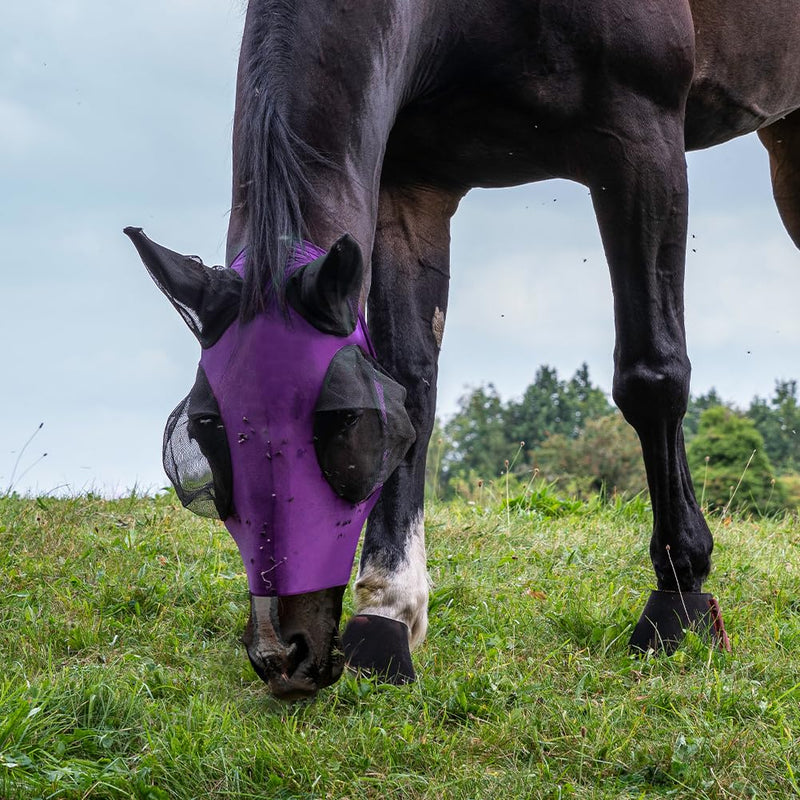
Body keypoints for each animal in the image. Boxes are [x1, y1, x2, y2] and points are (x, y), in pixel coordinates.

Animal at [127, 0, 800, 699]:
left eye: (343, 422)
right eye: (207, 426)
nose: (282, 652)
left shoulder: (642, 141)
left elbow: (652, 374)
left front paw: (679, 596)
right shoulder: (410, 185)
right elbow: (412, 383)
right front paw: (388, 612)